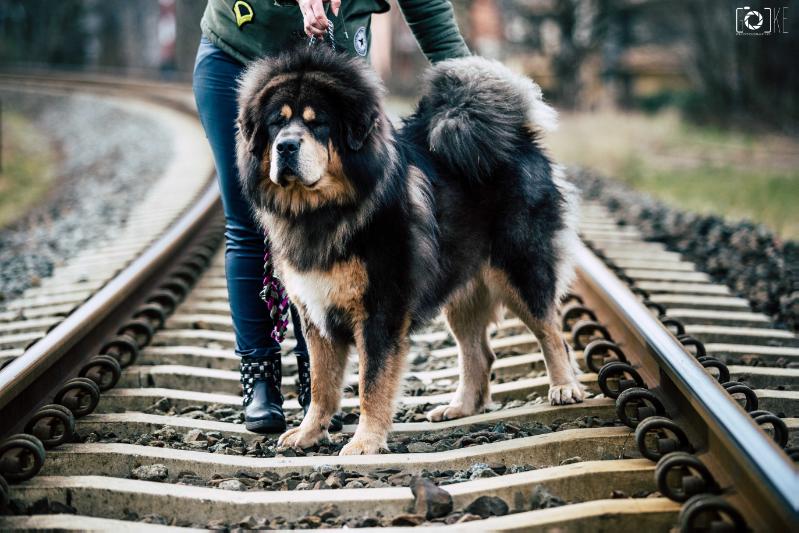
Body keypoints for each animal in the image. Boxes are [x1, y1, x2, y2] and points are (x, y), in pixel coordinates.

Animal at [236, 47, 580, 454]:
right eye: (277, 123)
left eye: (317, 124)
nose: (286, 146)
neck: (322, 211)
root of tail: (519, 138)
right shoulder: (315, 309)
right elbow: (321, 383)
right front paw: (308, 433)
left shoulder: (380, 309)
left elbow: (372, 382)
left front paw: (365, 442)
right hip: (462, 289)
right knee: (478, 352)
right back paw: (460, 407)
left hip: (520, 267)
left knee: (550, 330)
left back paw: (564, 387)